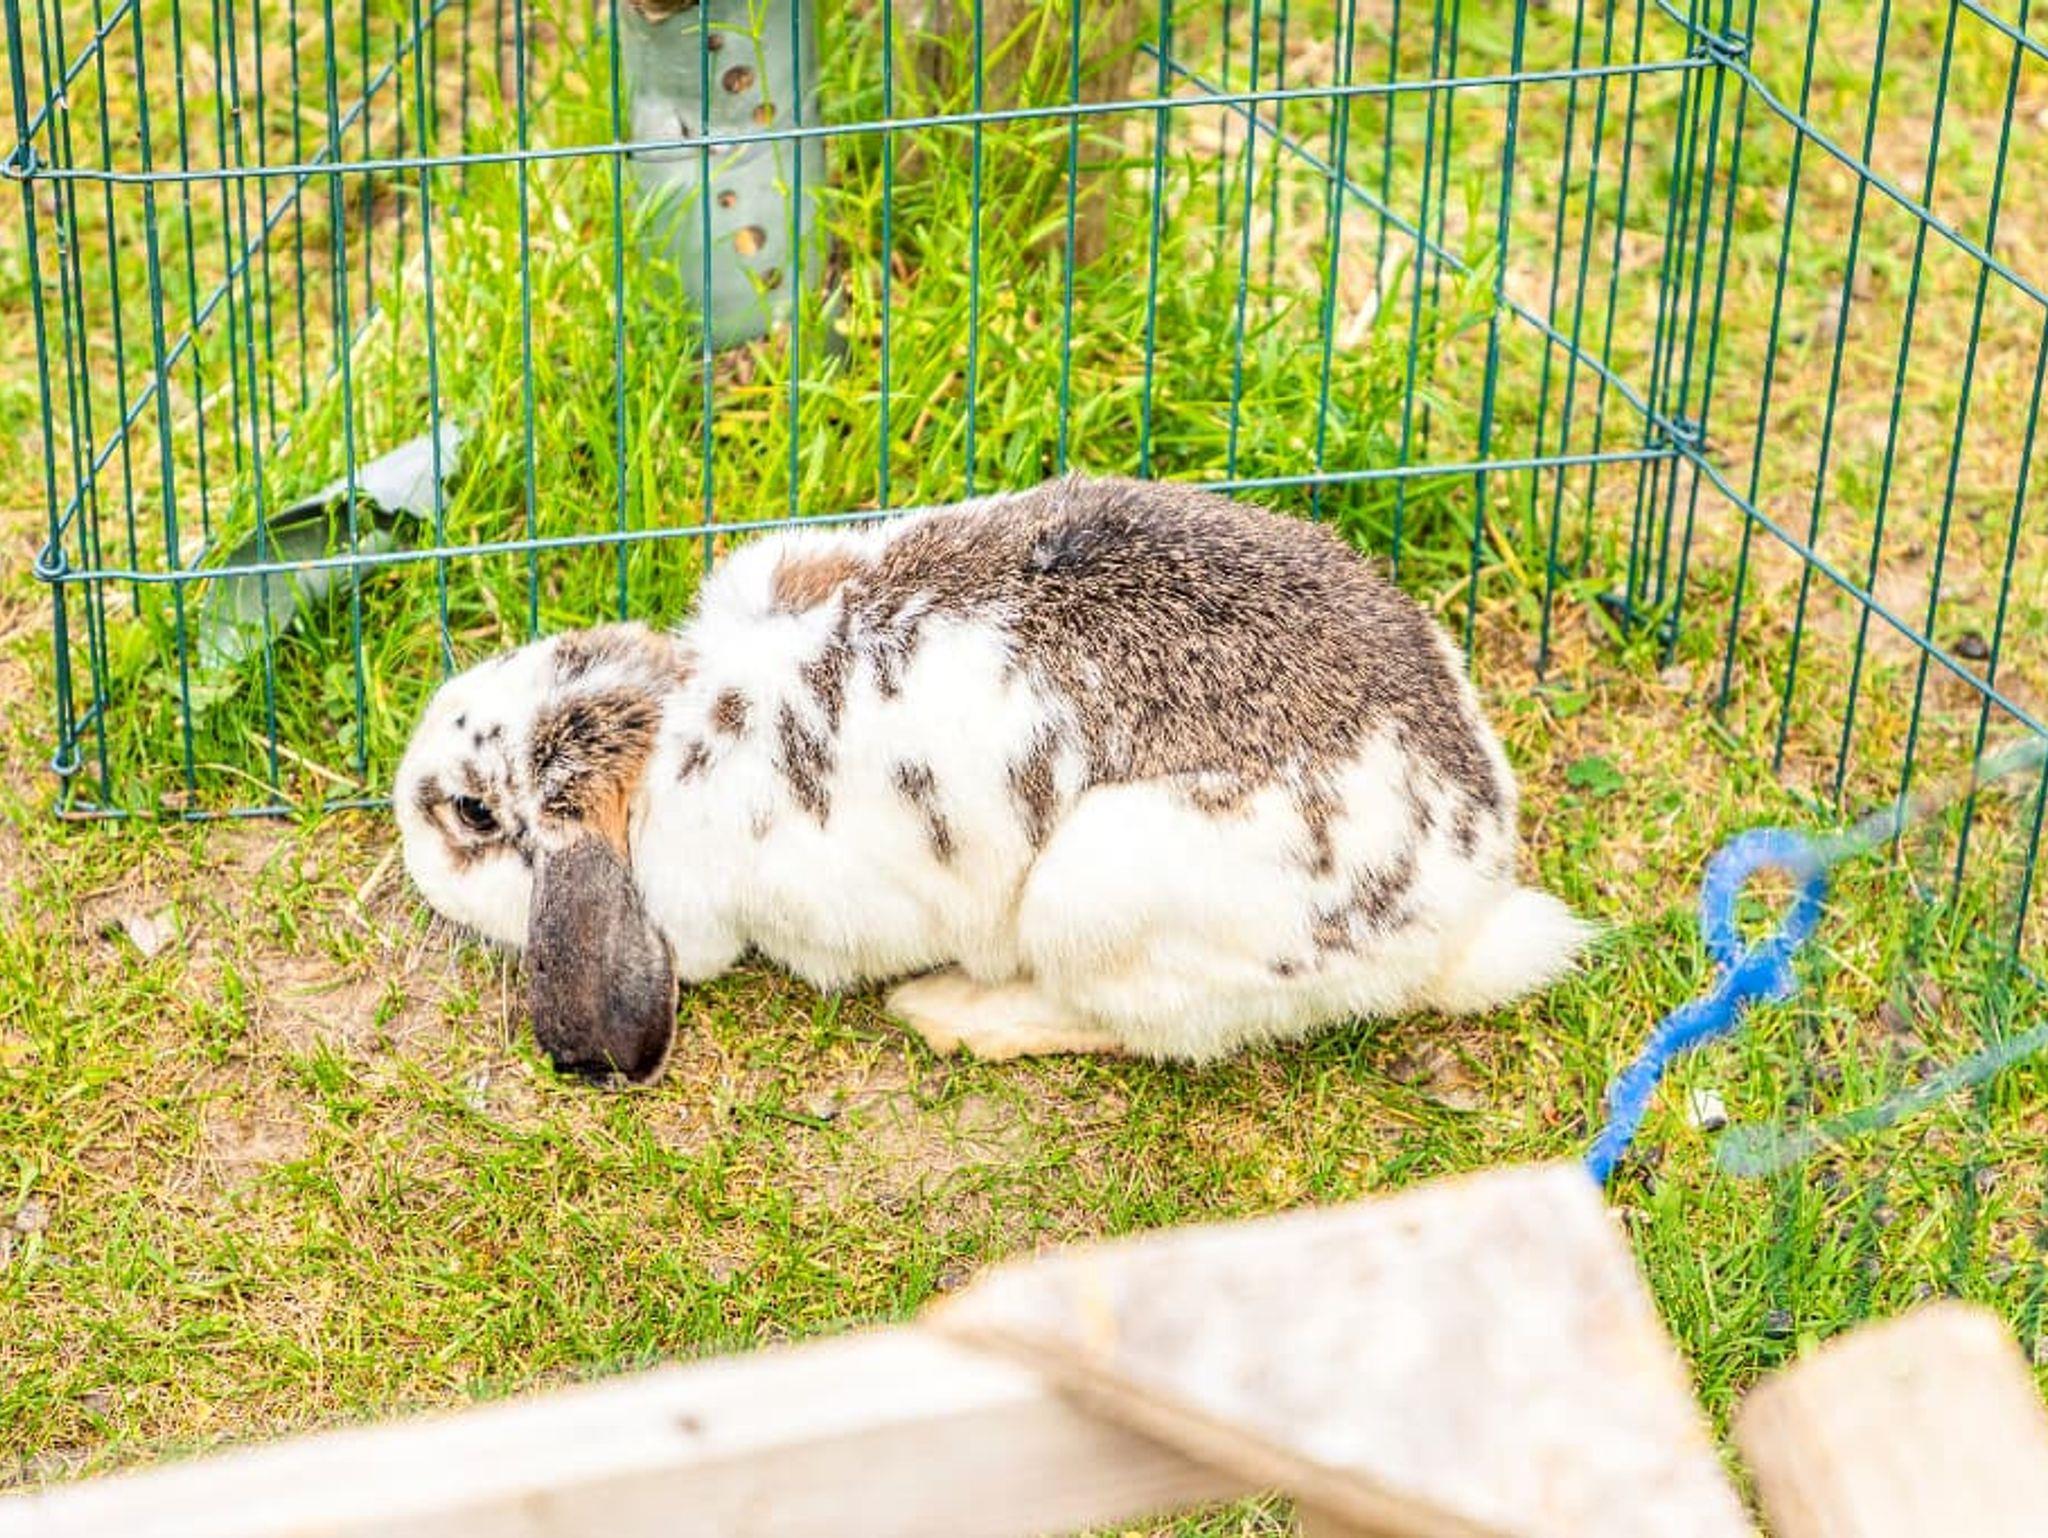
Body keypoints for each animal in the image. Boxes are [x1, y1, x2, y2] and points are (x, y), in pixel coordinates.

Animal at [394, 475, 1591, 1084]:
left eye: (472, 812)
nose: (404, 804)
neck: (670, 732)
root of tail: (1466, 902)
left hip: (1099, 896)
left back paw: (953, 1012)